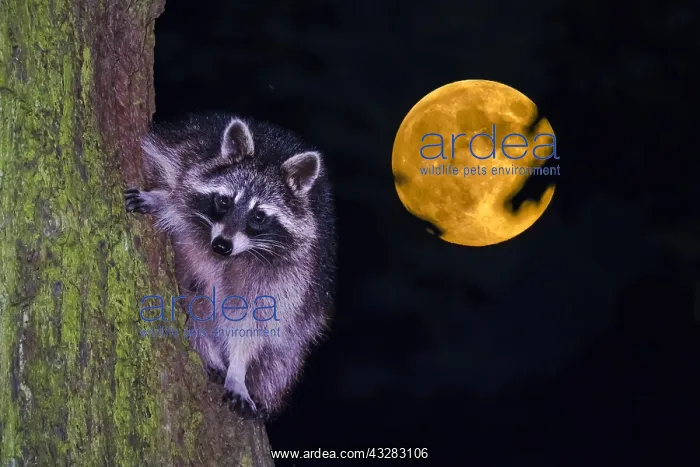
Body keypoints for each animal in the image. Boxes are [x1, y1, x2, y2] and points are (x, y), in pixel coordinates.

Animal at [124, 113, 336, 419]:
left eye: (258, 216)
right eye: (224, 201)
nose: (222, 245)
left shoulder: (294, 272)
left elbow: (255, 322)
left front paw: (238, 371)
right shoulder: (180, 158)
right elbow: (179, 194)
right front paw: (163, 198)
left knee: (283, 357)